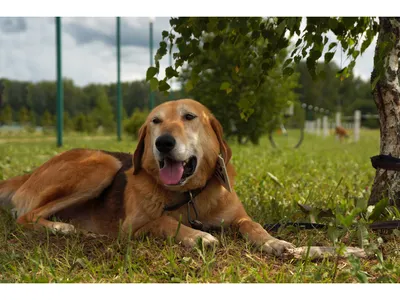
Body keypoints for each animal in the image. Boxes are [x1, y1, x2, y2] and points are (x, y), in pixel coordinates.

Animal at [0, 98, 294, 255]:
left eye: (189, 116)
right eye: (155, 121)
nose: (163, 142)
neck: (189, 195)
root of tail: (28, 175)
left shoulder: (239, 218)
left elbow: (253, 226)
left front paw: (275, 242)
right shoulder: (133, 227)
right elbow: (163, 221)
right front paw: (198, 236)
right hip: (103, 164)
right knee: (25, 216)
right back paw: (61, 228)